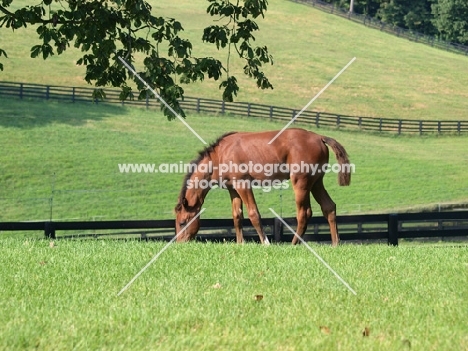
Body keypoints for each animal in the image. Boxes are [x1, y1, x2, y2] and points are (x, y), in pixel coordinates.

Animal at [176, 128, 352, 246]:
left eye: (183, 223)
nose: (179, 243)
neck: (219, 155)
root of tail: (319, 138)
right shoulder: (233, 189)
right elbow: (237, 216)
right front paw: (240, 243)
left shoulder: (243, 185)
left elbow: (254, 214)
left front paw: (265, 242)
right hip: (316, 183)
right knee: (329, 207)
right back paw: (335, 243)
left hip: (301, 184)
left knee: (304, 213)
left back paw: (293, 244)